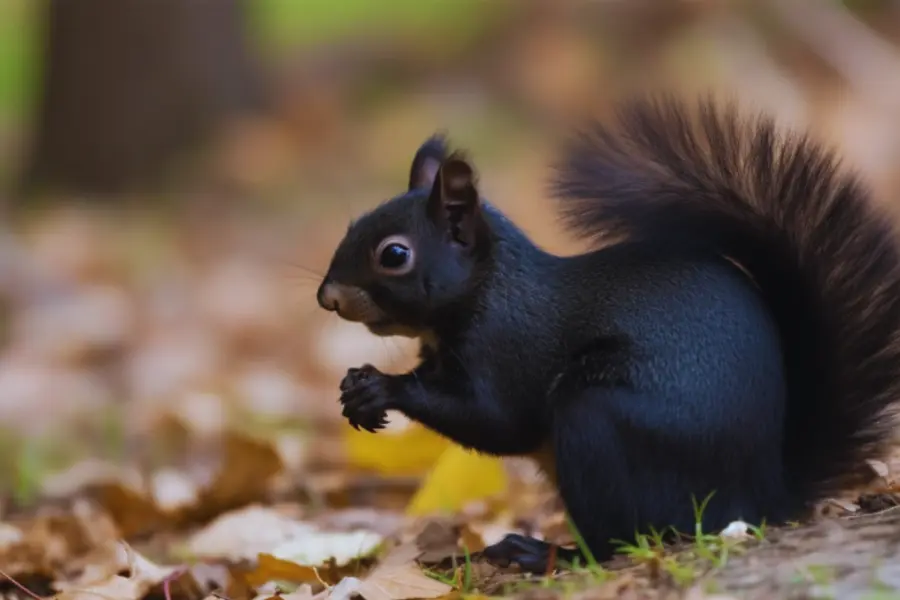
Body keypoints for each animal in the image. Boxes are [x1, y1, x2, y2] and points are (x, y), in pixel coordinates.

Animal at [314, 96, 900, 568]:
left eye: (394, 255)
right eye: (350, 227)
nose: (328, 297)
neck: (490, 288)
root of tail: (761, 497)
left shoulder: (509, 350)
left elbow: (497, 422)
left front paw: (382, 386)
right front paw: (354, 392)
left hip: (595, 425)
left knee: (622, 539)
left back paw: (541, 553)